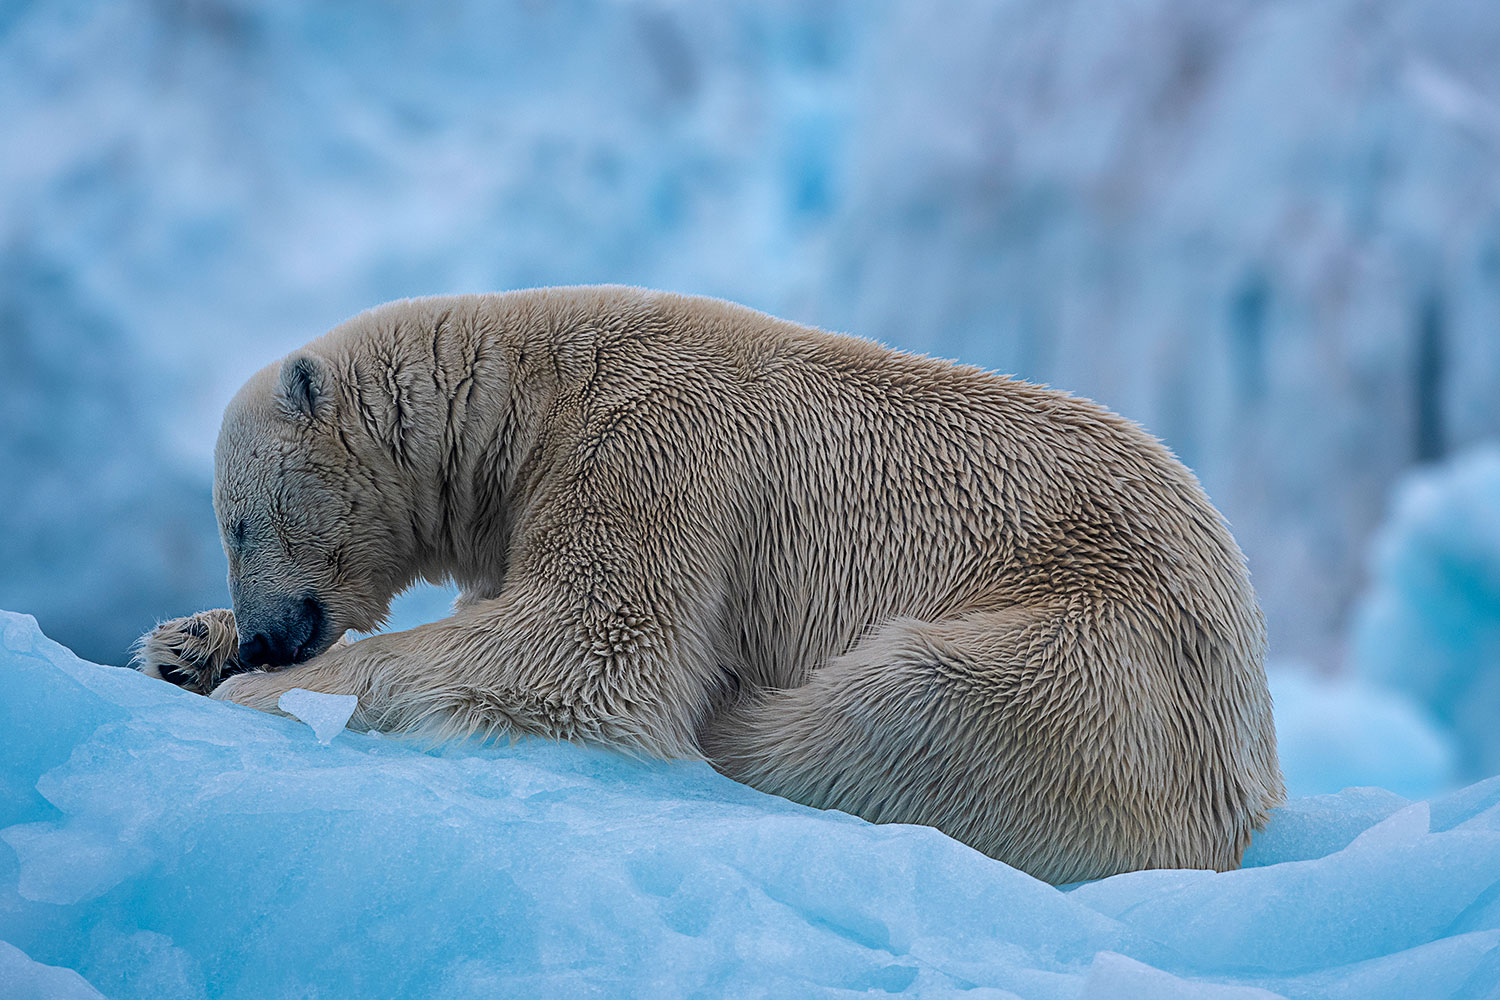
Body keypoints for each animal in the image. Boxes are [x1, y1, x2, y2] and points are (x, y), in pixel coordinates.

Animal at [135, 285, 1283, 884]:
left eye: (238, 518)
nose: (271, 635)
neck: (529, 391)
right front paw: (181, 647)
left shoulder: (649, 447)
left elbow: (585, 639)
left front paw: (260, 691)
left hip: (1094, 660)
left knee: (902, 707)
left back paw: (742, 730)